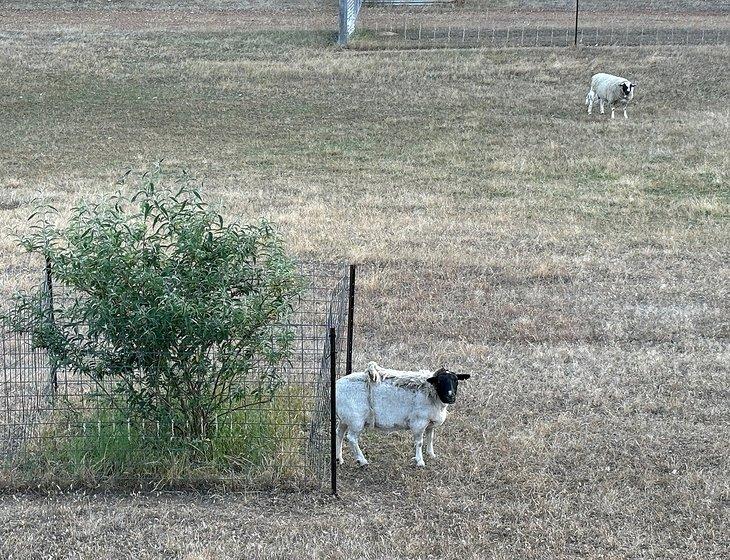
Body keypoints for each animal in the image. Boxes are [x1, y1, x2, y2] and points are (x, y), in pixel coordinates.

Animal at [332, 360, 470, 466]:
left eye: (456, 381)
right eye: (440, 381)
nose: (451, 397)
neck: (432, 393)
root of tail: (336, 387)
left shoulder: (430, 423)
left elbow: (430, 438)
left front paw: (431, 454)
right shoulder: (419, 423)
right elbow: (419, 442)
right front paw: (420, 461)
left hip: (345, 417)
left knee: (339, 433)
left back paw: (339, 458)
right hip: (355, 419)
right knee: (351, 438)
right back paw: (362, 460)